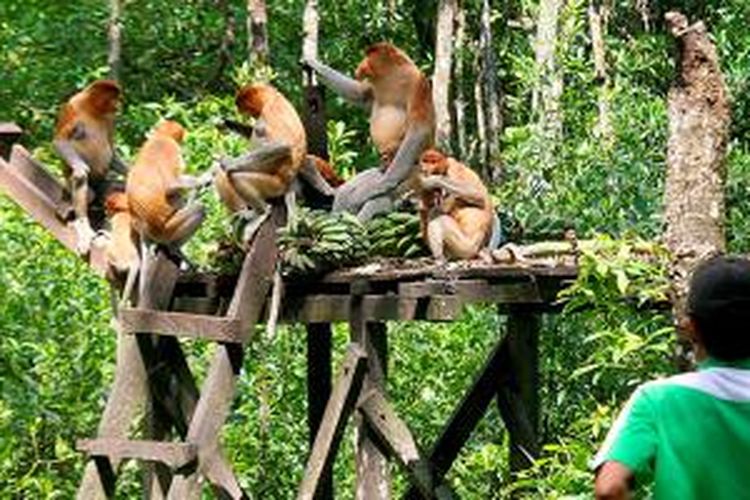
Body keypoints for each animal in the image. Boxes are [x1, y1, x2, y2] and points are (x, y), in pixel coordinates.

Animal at [54, 80, 128, 256]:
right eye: (114, 97)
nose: (118, 104)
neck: (93, 109)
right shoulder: (72, 106)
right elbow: (60, 140)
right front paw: (81, 168)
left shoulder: (110, 118)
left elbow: (112, 151)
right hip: (71, 186)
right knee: (86, 190)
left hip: (104, 183)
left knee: (112, 187)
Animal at [126, 121, 209, 254]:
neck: (160, 136)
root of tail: (145, 229)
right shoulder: (171, 147)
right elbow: (172, 184)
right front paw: (203, 179)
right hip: (167, 230)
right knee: (198, 209)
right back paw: (174, 248)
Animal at [304, 42, 438, 222]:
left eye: (368, 56)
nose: (360, 65)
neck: (392, 74)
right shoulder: (375, 86)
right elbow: (360, 94)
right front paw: (313, 64)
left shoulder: (418, 84)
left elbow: (419, 130)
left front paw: (385, 183)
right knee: (353, 186)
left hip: (413, 174)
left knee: (379, 199)